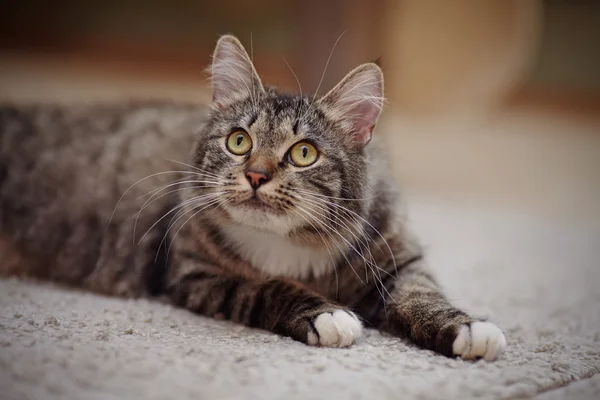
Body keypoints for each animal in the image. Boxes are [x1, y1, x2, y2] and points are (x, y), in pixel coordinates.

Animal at [0, 34, 506, 360]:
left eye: (304, 153)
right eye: (239, 141)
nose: (257, 175)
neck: (292, 242)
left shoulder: (400, 259)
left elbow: (422, 297)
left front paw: (468, 329)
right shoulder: (196, 274)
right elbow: (268, 287)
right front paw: (329, 316)